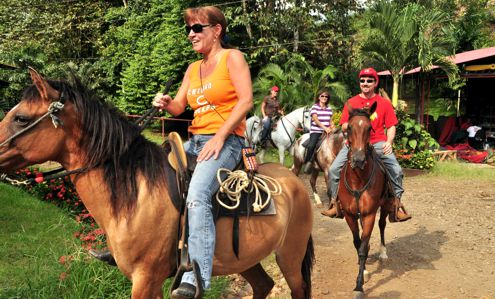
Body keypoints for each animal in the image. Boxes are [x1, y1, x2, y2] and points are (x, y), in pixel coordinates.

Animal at [0, 68, 314, 299]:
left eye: (21, 118)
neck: (137, 194)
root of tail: (295, 182)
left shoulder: (145, 279)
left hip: (290, 256)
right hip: (247, 258)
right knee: (263, 285)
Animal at [340, 102, 394, 298]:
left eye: (370, 128)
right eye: (348, 128)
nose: (358, 159)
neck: (358, 179)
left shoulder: (370, 213)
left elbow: (363, 247)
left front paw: (359, 285)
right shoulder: (349, 214)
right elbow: (358, 243)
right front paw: (362, 270)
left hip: (385, 205)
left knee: (382, 225)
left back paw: (383, 252)